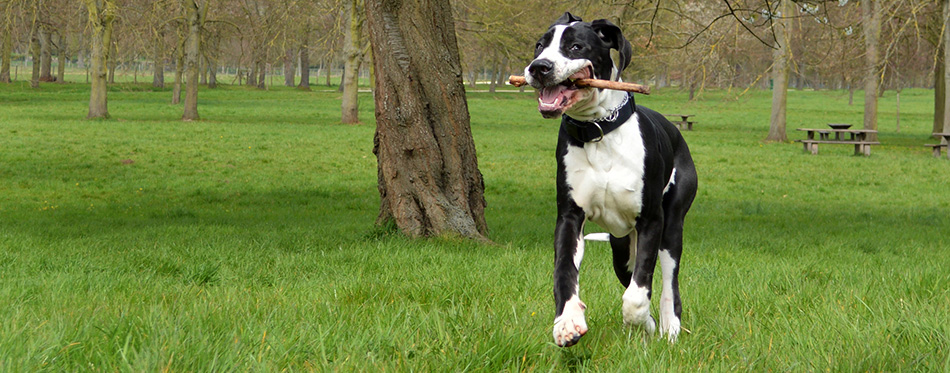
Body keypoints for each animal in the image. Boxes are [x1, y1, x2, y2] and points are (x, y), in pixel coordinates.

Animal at [524, 13, 704, 348]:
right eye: (540, 45)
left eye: (576, 46)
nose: (539, 67)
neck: (598, 131)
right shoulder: (569, 217)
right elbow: (564, 271)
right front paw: (567, 321)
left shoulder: (651, 221)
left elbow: (638, 293)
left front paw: (641, 320)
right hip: (620, 249)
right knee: (630, 273)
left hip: (671, 229)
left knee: (667, 284)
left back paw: (669, 327)